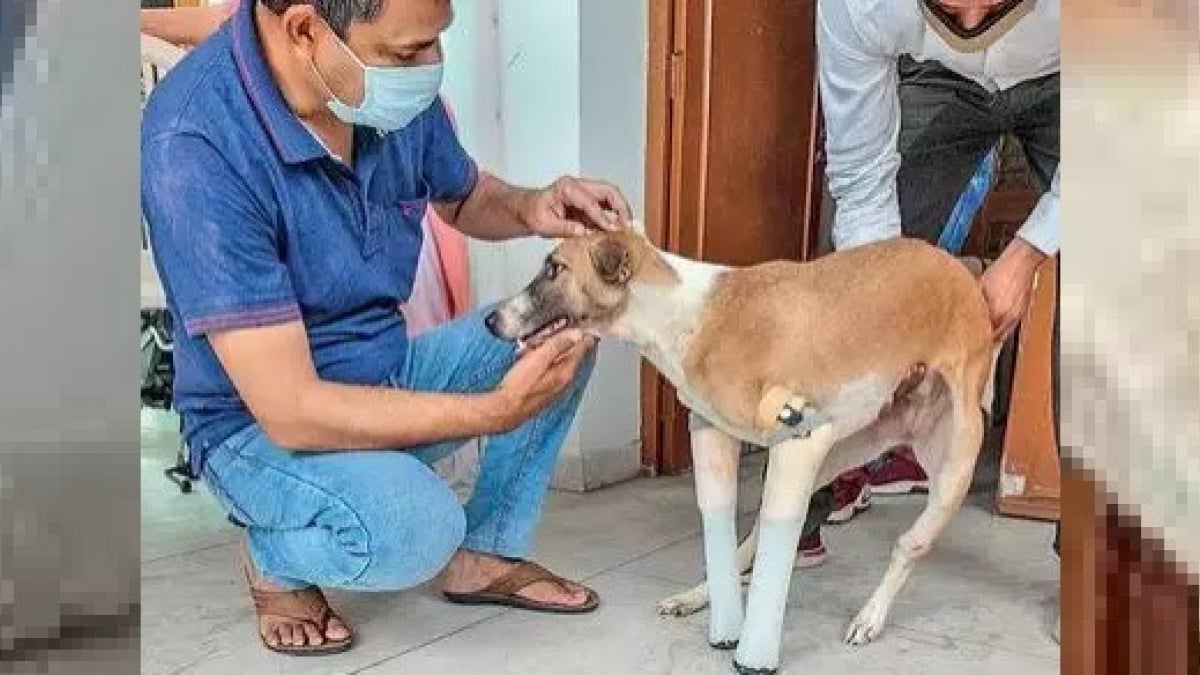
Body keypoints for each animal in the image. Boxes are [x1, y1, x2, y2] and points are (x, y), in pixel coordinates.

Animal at [484, 223, 993, 667]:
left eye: (555, 269)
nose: (489, 320)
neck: (680, 314)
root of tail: (958, 266)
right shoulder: (718, 432)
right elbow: (726, 534)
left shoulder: (803, 437)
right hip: (838, 455)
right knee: (751, 543)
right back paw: (696, 597)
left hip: (953, 463)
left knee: (908, 546)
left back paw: (870, 617)